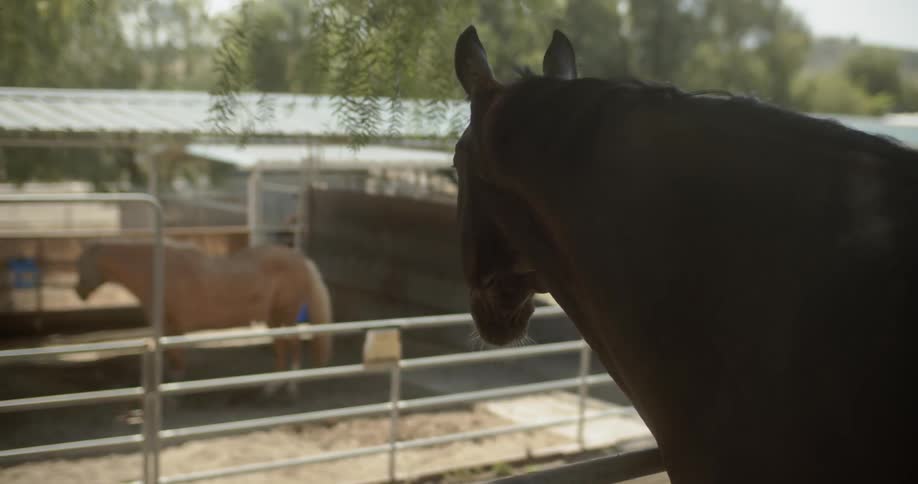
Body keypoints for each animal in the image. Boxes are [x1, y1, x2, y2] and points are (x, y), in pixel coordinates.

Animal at [75, 239, 334, 396]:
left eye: (80, 264)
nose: (78, 292)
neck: (156, 271)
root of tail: (301, 259)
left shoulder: (171, 326)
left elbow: (176, 358)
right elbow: (172, 356)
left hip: (285, 314)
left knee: (294, 347)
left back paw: (291, 388)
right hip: (273, 319)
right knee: (281, 348)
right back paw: (271, 387)